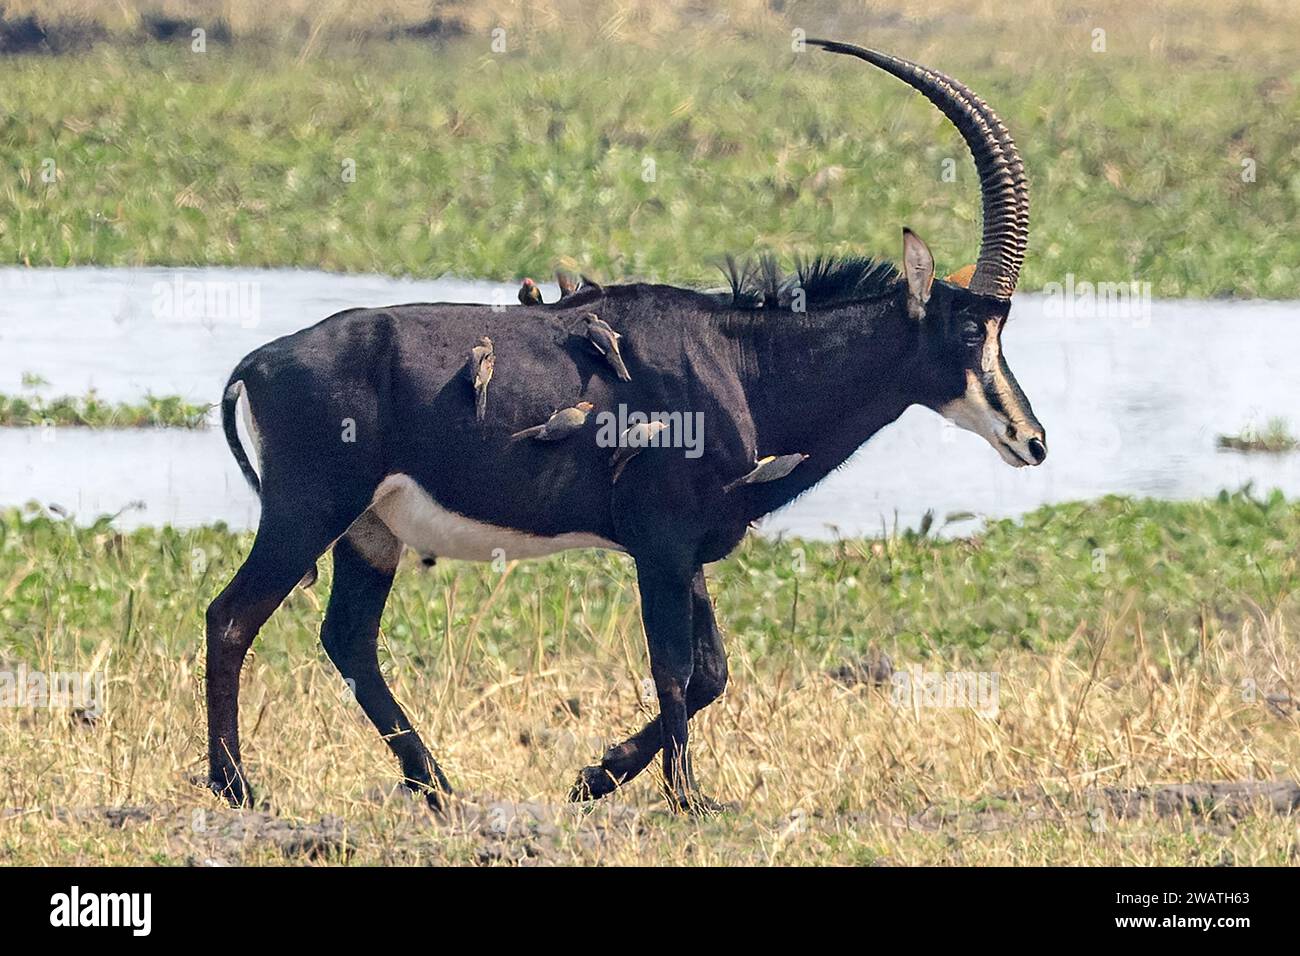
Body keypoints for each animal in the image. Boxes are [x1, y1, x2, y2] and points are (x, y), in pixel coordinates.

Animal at [210, 41, 1045, 811]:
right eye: (969, 330)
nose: (1031, 440)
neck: (742, 363)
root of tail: (258, 360)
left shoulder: (689, 549)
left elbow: (712, 673)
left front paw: (596, 777)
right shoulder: (660, 544)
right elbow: (674, 669)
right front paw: (684, 798)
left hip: (370, 532)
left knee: (348, 640)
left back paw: (436, 786)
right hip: (309, 512)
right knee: (231, 619)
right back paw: (238, 788)